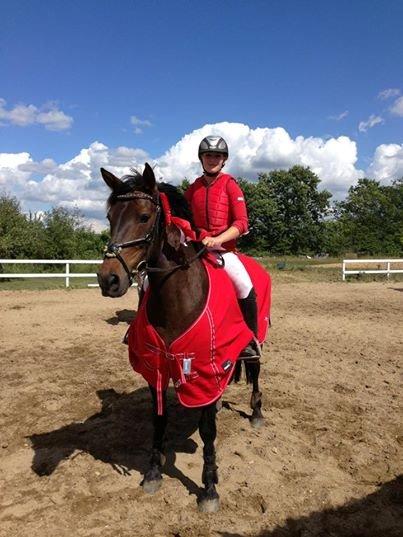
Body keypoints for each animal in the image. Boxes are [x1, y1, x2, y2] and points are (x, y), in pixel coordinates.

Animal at [96, 162, 270, 510]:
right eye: (109, 217)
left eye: (144, 216)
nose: (108, 279)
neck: (177, 300)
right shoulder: (156, 367)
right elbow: (158, 418)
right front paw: (153, 472)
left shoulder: (205, 368)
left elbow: (207, 431)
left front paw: (210, 487)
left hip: (255, 339)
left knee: (256, 370)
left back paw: (256, 413)